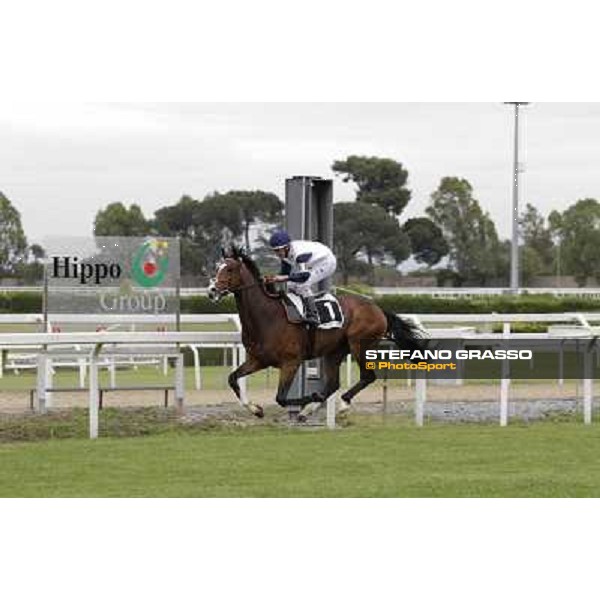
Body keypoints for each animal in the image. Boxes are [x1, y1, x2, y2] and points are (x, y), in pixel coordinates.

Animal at [209, 246, 424, 420]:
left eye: (229, 269)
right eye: (217, 267)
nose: (211, 291)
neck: (267, 317)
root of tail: (377, 308)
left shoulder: (291, 362)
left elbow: (281, 398)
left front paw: (310, 397)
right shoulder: (258, 360)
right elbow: (232, 379)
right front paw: (256, 409)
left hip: (359, 345)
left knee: (367, 377)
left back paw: (341, 405)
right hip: (334, 351)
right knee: (334, 383)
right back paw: (310, 410)